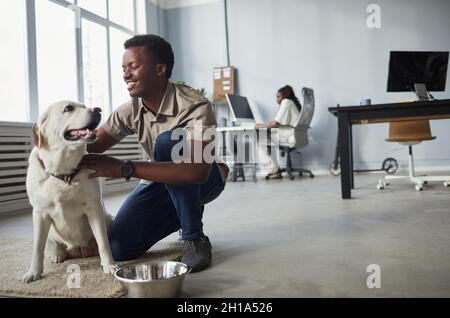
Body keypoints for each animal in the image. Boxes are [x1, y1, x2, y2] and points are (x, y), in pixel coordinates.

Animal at [22, 100, 118, 284]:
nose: (97, 109)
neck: (63, 171)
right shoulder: (39, 213)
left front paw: (109, 265)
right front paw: (33, 272)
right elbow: (37, 247)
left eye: (85, 106)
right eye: (68, 108)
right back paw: (58, 254)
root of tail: (78, 250)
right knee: (54, 244)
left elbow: (104, 242)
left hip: (108, 219)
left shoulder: (94, 208)